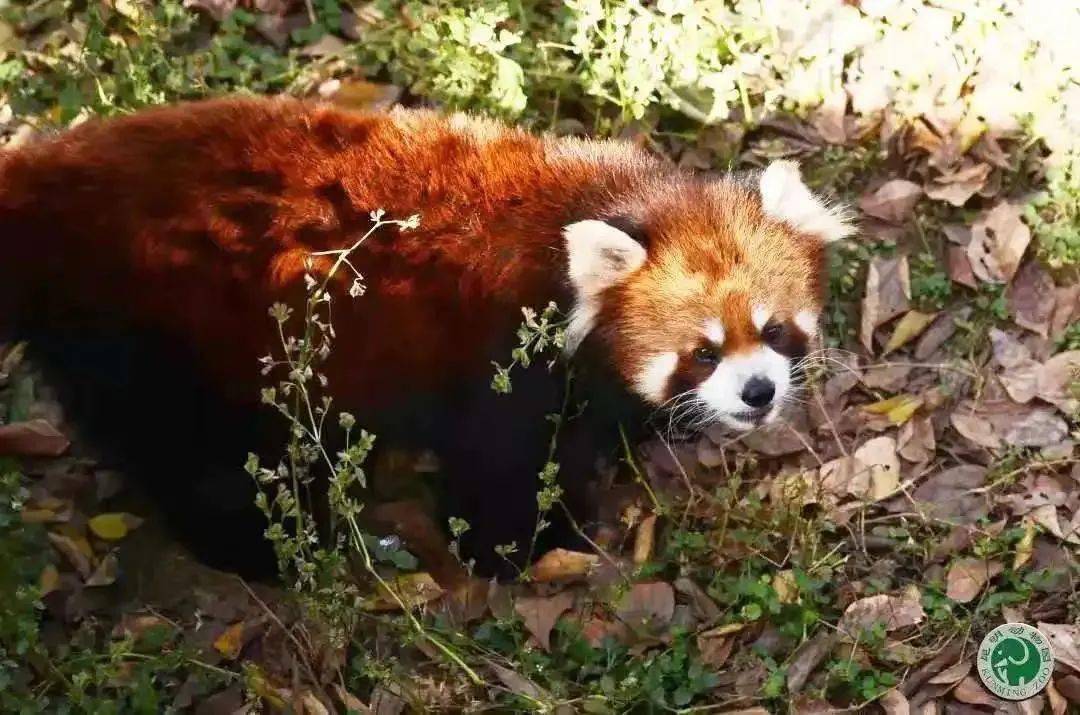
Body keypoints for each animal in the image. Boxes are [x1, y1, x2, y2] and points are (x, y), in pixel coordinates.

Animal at [2, 95, 851, 578]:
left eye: (774, 330)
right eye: (702, 351)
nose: (757, 392)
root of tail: (45, 184)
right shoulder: (494, 357)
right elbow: (500, 467)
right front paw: (529, 547)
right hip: (161, 334)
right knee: (202, 460)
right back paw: (272, 548)